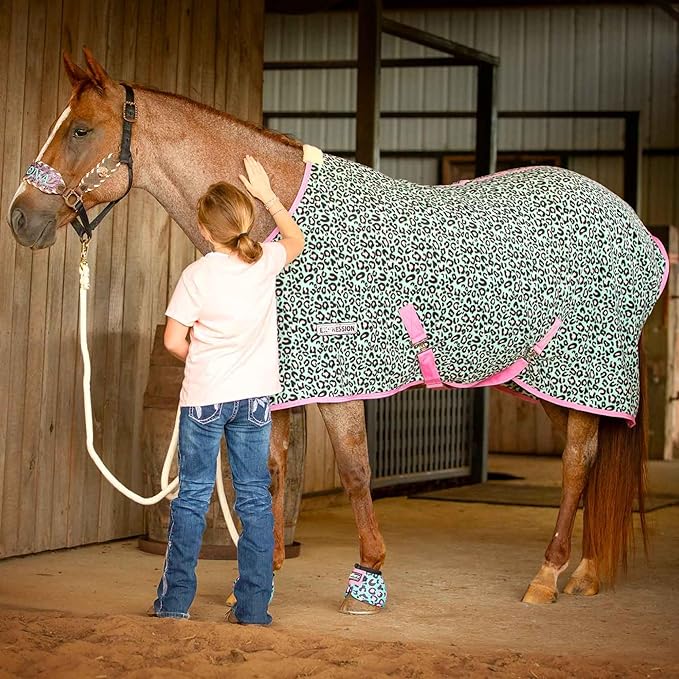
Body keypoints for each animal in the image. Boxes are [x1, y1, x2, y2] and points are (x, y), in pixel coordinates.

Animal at [8, 49, 666, 613]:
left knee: (577, 462)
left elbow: (354, 470)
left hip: (578, 371)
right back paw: (585, 571)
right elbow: (270, 471)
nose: (20, 218)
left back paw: (547, 576)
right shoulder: (278, 384)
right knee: (590, 461)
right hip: (546, 381)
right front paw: (261, 577)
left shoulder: (338, 379)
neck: (273, 220)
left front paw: (367, 576)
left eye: (81, 131)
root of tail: (637, 227)